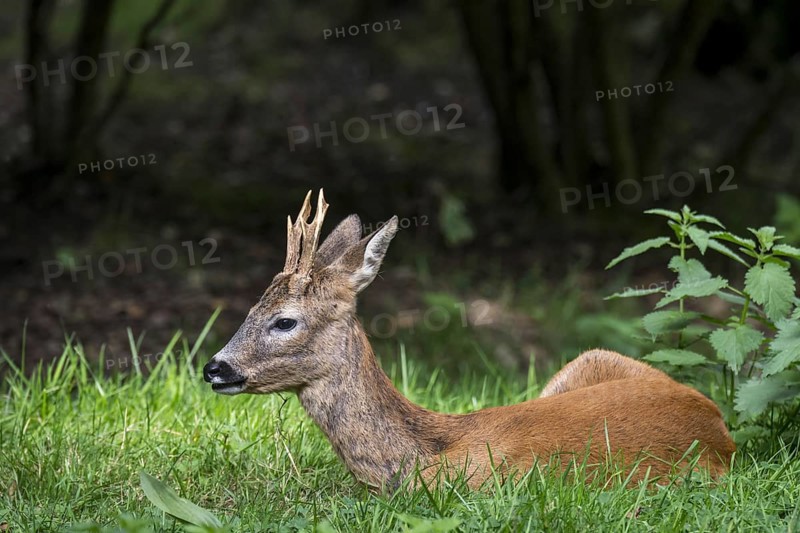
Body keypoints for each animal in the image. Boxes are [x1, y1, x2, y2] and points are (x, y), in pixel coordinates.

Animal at [203, 190, 735, 491]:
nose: (214, 368)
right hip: (589, 361)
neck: (416, 458)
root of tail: (718, 425)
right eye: (249, 309)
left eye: (284, 321)